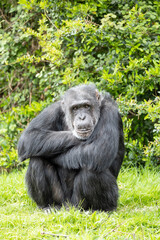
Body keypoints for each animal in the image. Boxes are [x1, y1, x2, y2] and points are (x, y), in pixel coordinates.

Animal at [17, 84, 125, 212]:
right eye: (75, 108)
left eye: (86, 106)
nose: (82, 117)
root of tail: (69, 207)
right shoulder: (53, 109)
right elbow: (29, 137)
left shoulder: (110, 111)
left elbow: (99, 150)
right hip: (61, 200)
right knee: (37, 160)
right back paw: (48, 206)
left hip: (81, 203)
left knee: (91, 169)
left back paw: (100, 210)